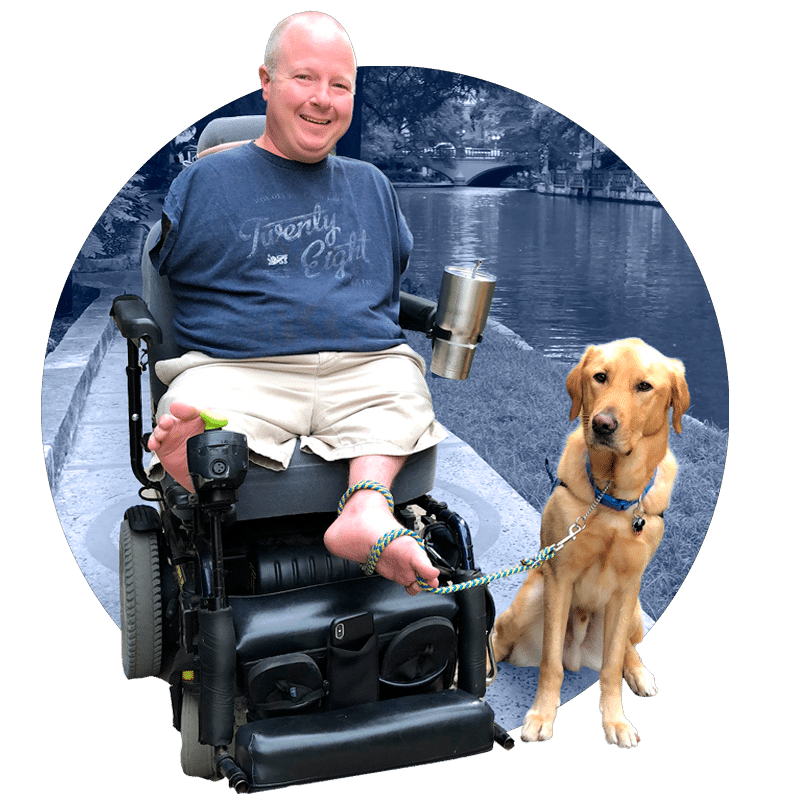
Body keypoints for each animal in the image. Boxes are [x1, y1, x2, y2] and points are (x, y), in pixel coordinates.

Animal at [490, 340, 692, 752]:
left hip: (634, 613)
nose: (602, 424)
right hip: (531, 597)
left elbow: (612, 668)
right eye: (600, 377)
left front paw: (616, 721)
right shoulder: (559, 577)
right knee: (500, 639)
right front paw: (541, 716)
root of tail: (579, 656)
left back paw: (639, 673)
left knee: (626, 648)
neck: (611, 497)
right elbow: (550, 663)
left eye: (644, 386)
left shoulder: (629, 586)